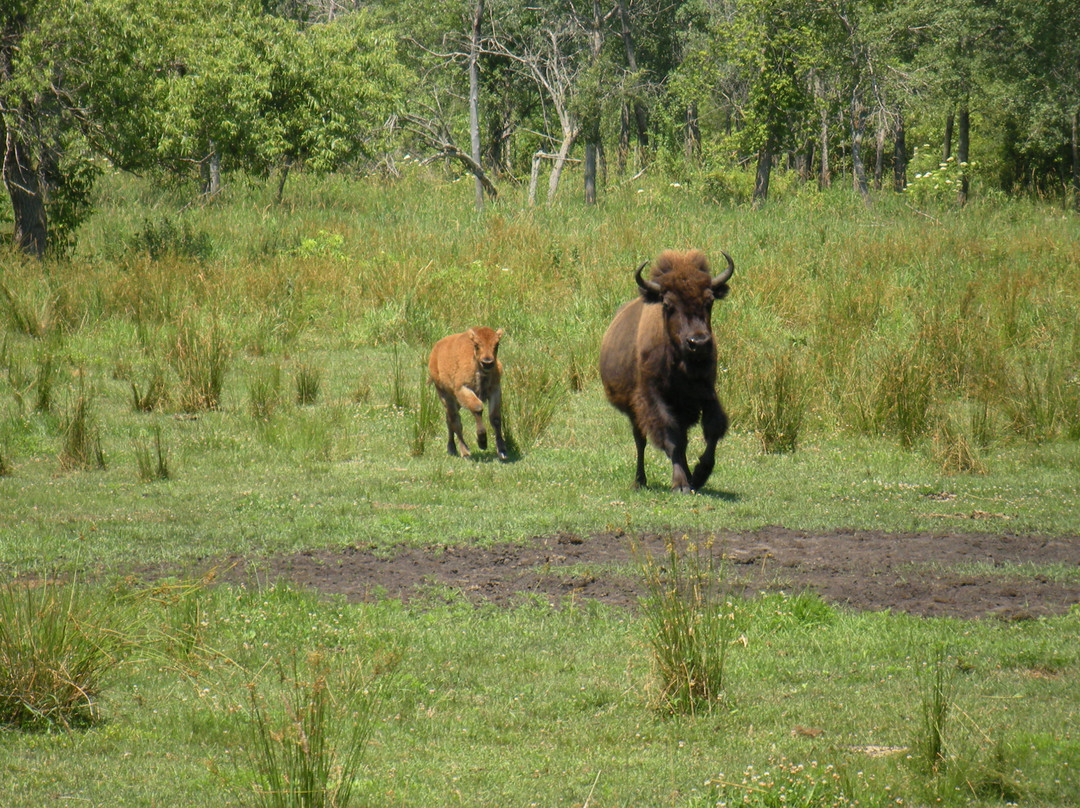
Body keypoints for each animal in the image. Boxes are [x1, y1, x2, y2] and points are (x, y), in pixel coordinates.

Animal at [425, 324, 505, 460]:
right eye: (476, 345)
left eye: (497, 344)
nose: (487, 362)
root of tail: (435, 350)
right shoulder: (463, 389)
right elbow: (477, 408)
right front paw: (482, 442)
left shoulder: (495, 390)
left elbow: (495, 417)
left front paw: (502, 451)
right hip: (445, 395)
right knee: (455, 421)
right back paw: (464, 451)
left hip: (455, 401)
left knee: (449, 419)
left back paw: (452, 448)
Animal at [600, 249, 734, 492]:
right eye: (668, 304)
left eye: (709, 301)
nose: (698, 343)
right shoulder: (653, 398)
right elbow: (670, 438)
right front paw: (680, 484)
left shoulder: (707, 393)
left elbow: (713, 429)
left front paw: (699, 475)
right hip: (635, 411)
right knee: (641, 440)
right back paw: (640, 481)